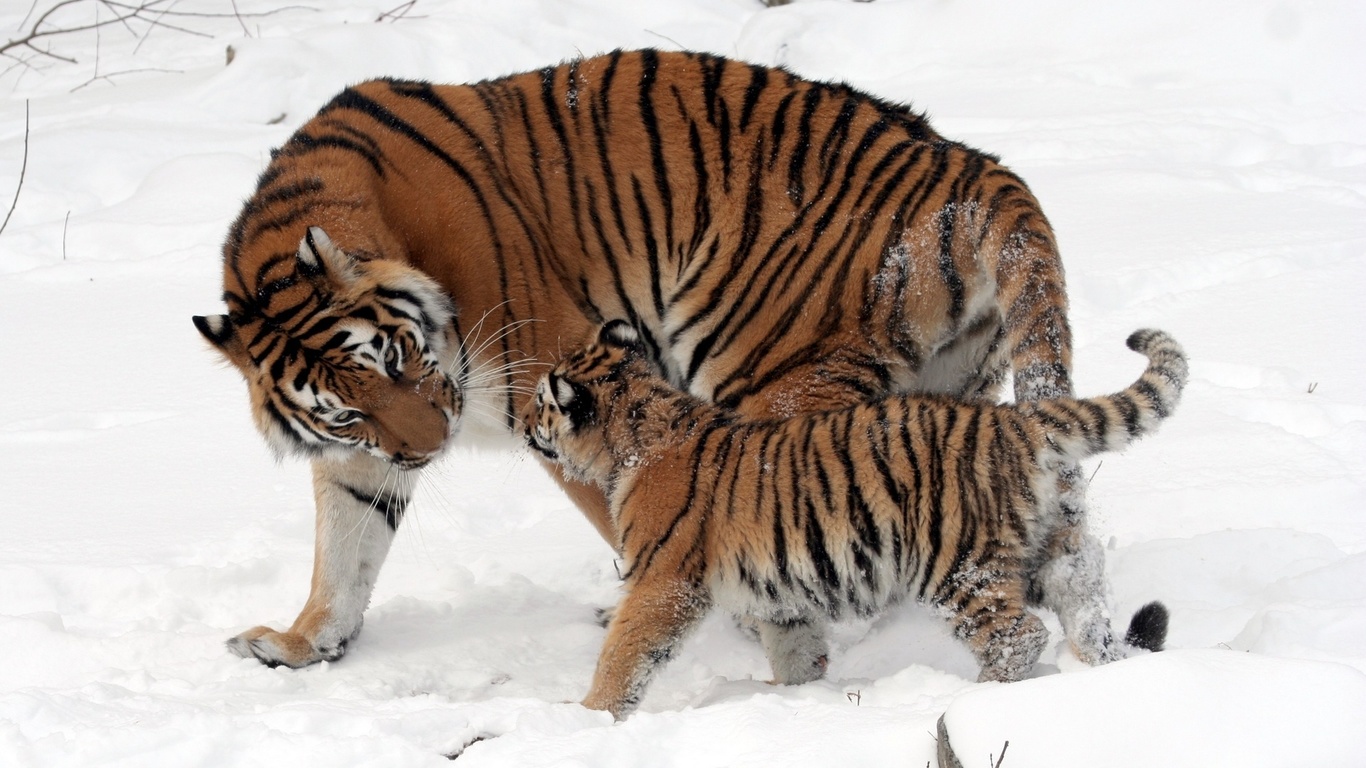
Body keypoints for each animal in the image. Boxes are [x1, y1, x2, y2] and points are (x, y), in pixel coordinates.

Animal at [195, 47, 1087, 669]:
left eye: (397, 357)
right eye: (347, 409)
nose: (431, 447)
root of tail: (967, 164)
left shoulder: (556, 380)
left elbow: (626, 513)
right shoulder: (363, 453)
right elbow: (344, 549)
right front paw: (303, 644)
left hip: (768, 374)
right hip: (951, 390)